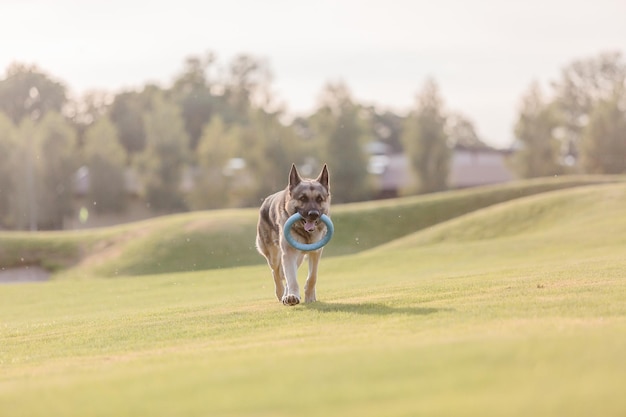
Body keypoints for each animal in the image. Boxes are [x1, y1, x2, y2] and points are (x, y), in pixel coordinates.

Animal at [255, 164, 332, 304]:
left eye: (319, 199)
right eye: (303, 198)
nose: (313, 214)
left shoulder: (316, 253)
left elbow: (312, 277)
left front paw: (309, 296)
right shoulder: (289, 253)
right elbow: (291, 279)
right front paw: (292, 296)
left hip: (299, 258)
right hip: (274, 256)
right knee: (276, 273)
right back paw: (282, 294)